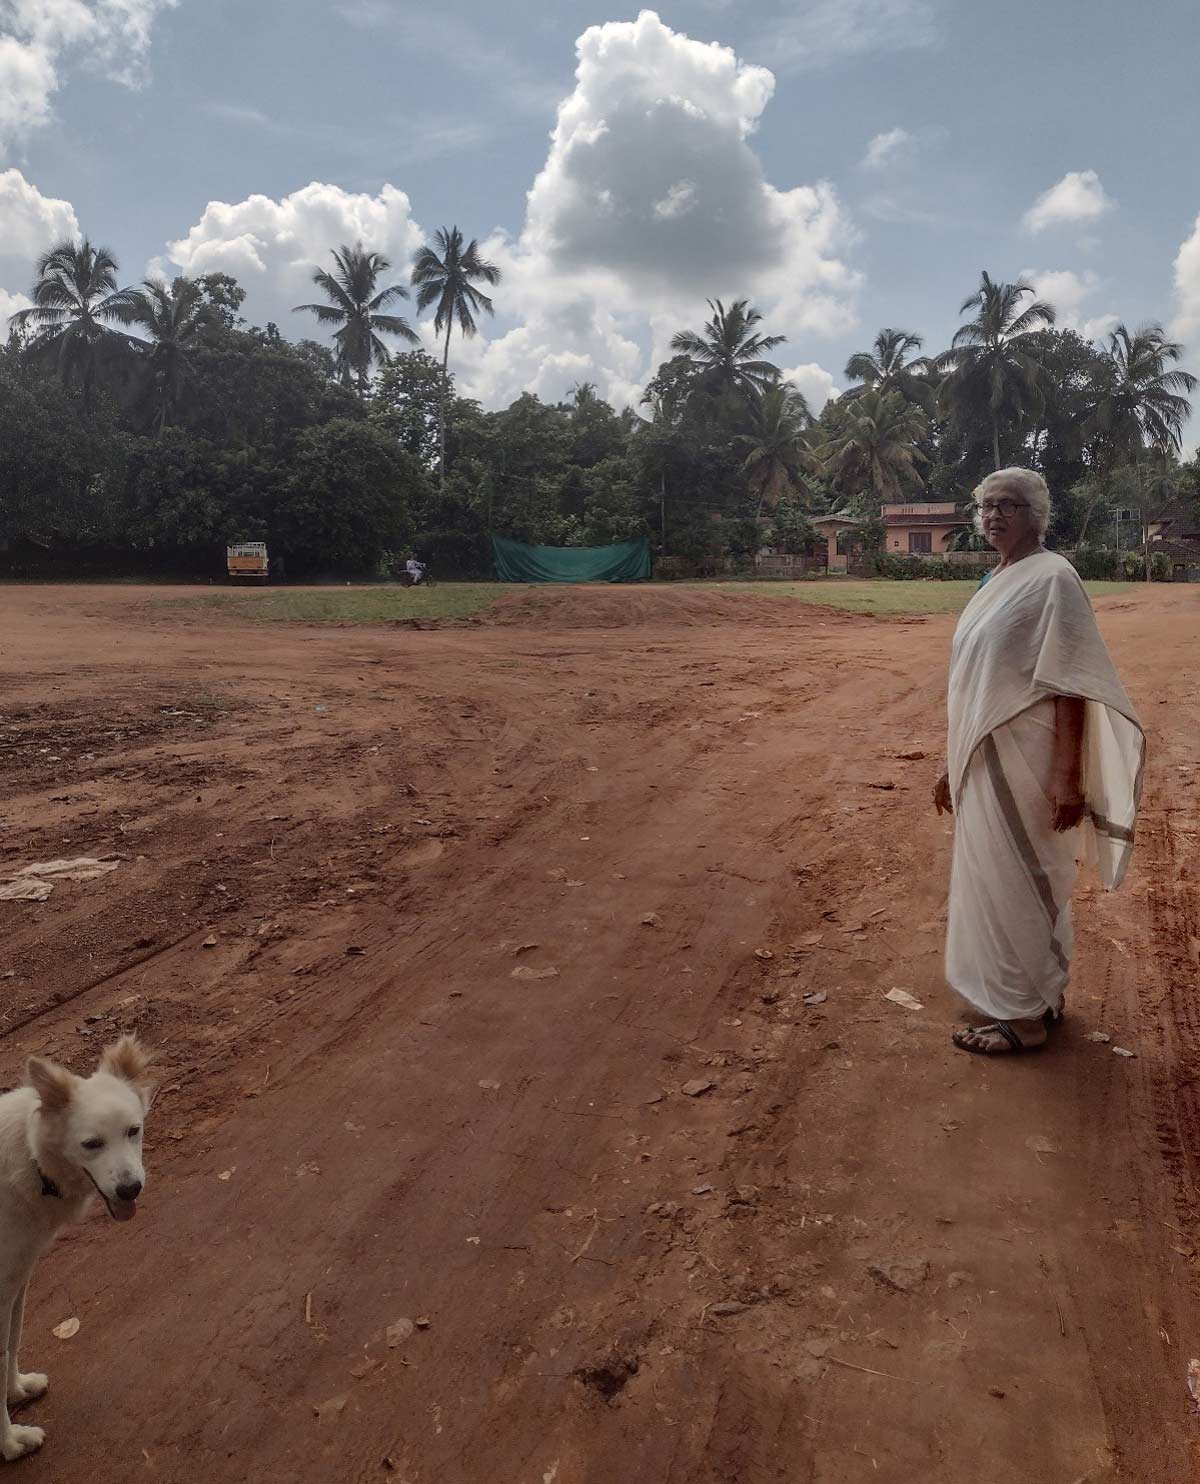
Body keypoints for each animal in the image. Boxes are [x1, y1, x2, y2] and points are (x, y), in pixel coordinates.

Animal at [0, 1032, 153, 1460]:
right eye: (91, 1144)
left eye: (133, 1131)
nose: (130, 1189)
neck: (32, 1159)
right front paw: (11, 1445)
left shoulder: (17, 1281)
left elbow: (11, 1345)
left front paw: (17, 1391)